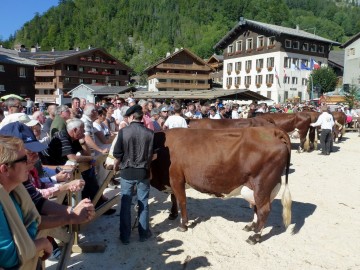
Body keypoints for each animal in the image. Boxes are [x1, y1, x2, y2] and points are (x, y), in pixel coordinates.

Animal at [150, 127, 292, 245]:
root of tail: (272, 131)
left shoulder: (177, 178)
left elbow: (182, 201)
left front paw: (183, 225)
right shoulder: (170, 180)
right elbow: (173, 197)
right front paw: (172, 214)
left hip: (262, 184)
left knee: (264, 210)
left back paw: (254, 237)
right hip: (259, 188)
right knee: (257, 207)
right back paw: (251, 226)